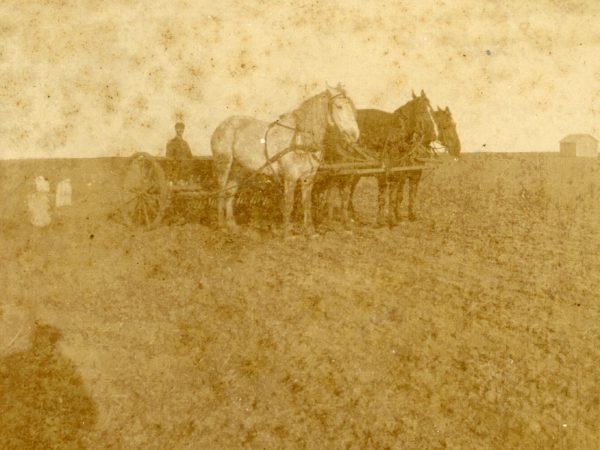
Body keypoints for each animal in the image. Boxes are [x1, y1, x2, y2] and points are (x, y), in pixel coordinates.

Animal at [212, 84, 360, 236]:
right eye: (339, 106)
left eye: (352, 107)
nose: (354, 135)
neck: (300, 139)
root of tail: (223, 124)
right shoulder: (290, 177)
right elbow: (289, 203)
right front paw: (287, 233)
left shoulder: (308, 177)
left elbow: (307, 203)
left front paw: (310, 231)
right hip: (224, 164)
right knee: (221, 191)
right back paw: (221, 225)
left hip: (239, 168)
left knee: (230, 192)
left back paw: (232, 225)